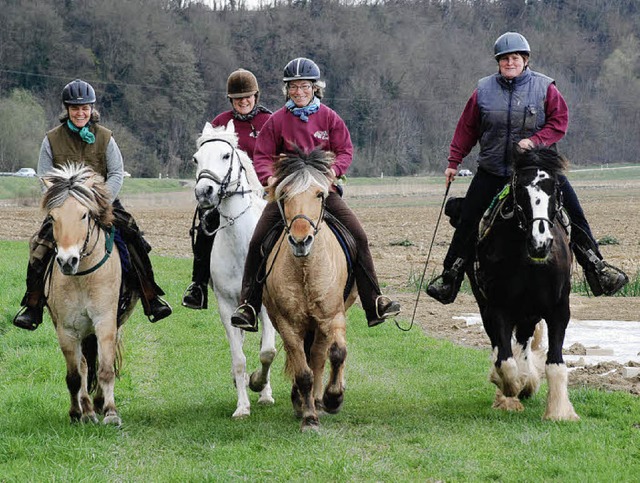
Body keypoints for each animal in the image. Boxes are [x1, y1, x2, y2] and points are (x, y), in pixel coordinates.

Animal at [43, 164, 138, 428]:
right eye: (53, 217)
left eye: (84, 215)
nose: (67, 261)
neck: (82, 277)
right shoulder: (66, 329)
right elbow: (75, 375)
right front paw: (78, 413)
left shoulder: (105, 322)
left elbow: (105, 369)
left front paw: (111, 412)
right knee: (84, 366)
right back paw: (87, 409)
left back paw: (98, 404)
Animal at [192, 121, 278, 420]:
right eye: (196, 159)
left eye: (226, 155)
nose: (204, 192)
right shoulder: (228, 307)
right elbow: (239, 358)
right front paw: (242, 405)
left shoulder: (265, 307)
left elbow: (267, 352)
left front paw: (259, 385)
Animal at [262, 148, 360, 432]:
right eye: (284, 195)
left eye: (319, 194)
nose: (300, 240)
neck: (306, 268)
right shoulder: (288, 324)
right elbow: (302, 370)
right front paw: (308, 416)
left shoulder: (332, 316)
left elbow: (336, 353)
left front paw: (333, 398)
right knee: (305, 358)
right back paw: (304, 401)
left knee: (318, 355)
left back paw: (319, 398)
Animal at [464, 146, 580, 422]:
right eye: (520, 190)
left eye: (554, 189)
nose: (540, 243)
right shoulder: (498, 307)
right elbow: (505, 361)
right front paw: (510, 390)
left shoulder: (559, 309)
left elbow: (555, 363)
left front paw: (558, 411)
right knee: (501, 346)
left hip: (529, 312)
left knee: (525, 341)